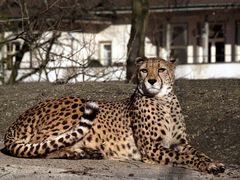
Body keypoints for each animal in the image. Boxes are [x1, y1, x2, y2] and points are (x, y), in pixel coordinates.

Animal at [3, 56, 225, 174]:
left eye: (161, 69)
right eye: (144, 70)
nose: (152, 81)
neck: (164, 100)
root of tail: (19, 119)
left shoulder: (180, 143)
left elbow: (197, 153)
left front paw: (213, 162)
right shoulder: (151, 148)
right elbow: (185, 157)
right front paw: (208, 166)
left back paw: (85, 152)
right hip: (78, 104)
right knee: (41, 145)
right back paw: (74, 153)